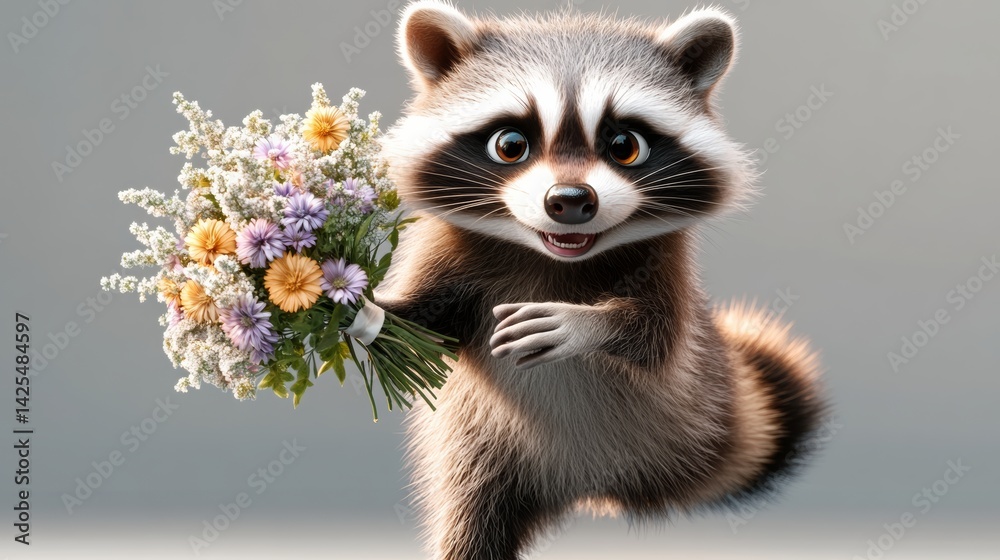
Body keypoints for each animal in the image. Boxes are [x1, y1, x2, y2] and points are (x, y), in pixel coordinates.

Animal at [377, 2, 827, 559]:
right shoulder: (446, 251)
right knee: (473, 518)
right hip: (481, 453)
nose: (570, 200)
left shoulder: (666, 267)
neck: (555, 258)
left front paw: (583, 324)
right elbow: (416, 325)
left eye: (624, 145)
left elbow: (656, 338)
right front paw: (360, 308)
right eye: (511, 145)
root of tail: (594, 486)